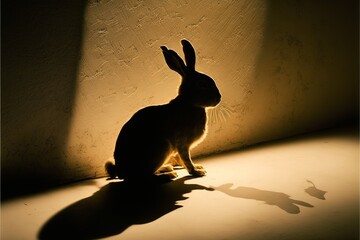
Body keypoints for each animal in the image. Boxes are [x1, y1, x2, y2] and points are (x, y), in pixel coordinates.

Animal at [105, 39, 221, 182]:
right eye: (202, 84)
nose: (219, 98)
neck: (190, 103)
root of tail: (121, 171)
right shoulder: (182, 143)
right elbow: (186, 159)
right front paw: (197, 172)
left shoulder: (179, 148)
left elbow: (181, 159)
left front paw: (198, 167)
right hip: (161, 148)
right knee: (142, 177)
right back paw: (168, 175)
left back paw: (166, 168)